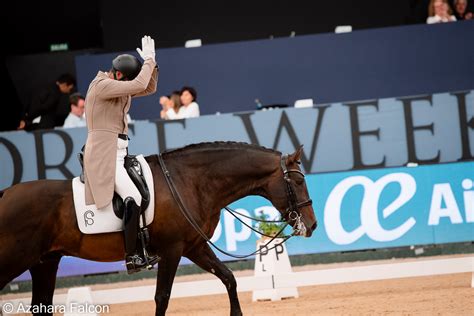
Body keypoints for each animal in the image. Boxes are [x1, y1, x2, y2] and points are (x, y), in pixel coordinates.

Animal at [0, 141, 318, 316]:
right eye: (298, 181)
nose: (313, 225)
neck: (190, 182)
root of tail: (4, 195)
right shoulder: (172, 250)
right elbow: (162, 298)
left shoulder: (194, 247)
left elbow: (229, 278)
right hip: (14, 261)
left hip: (44, 263)